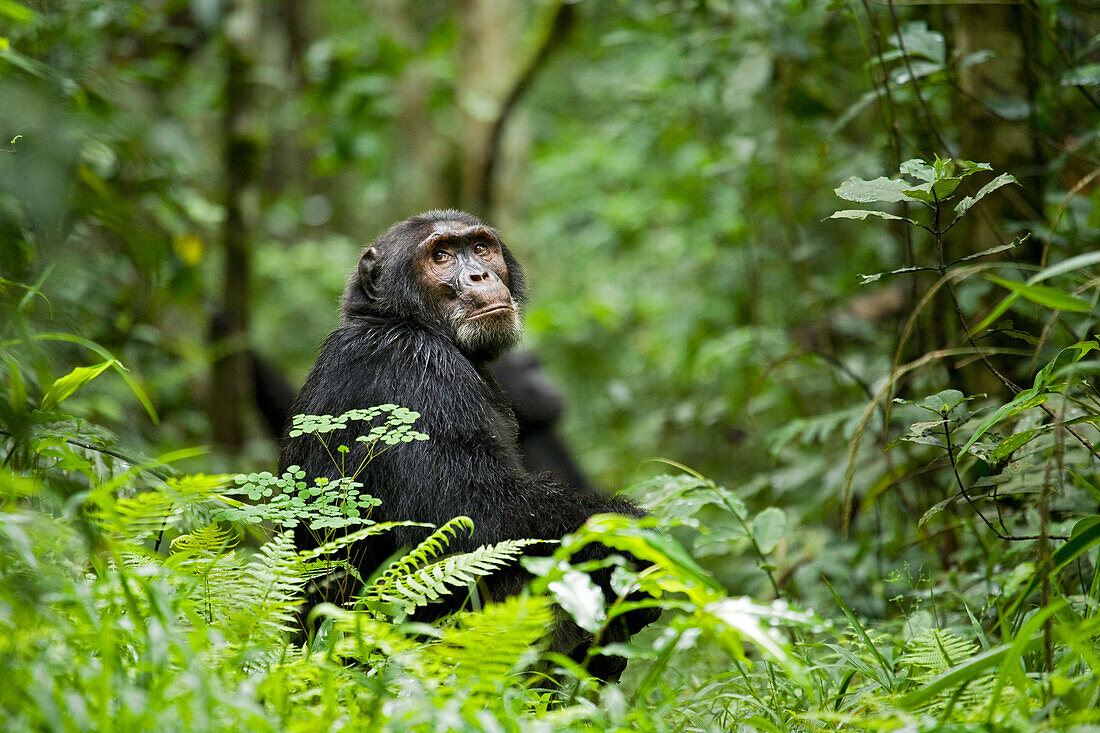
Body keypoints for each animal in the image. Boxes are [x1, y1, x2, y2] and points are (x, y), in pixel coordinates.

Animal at [279, 208, 651, 677]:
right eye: (440, 256)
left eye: (480, 247)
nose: (479, 274)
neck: (401, 321)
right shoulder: (415, 374)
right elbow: (474, 513)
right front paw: (634, 537)